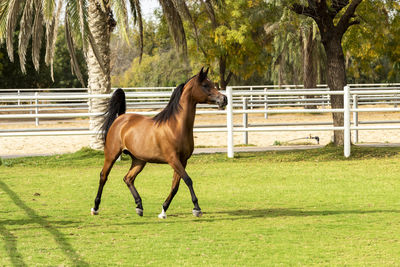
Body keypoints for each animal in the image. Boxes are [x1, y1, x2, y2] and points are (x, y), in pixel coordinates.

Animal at [91, 68, 228, 221]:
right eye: (205, 85)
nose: (224, 99)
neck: (175, 126)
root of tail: (120, 118)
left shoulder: (183, 161)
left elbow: (175, 186)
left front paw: (163, 210)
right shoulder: (173, 159)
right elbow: (188, 180)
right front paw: (197, 209)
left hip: (139, 160)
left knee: (128, 178)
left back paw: (139, 207)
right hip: (112, 155)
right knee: (103, 176)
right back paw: (95, 208)